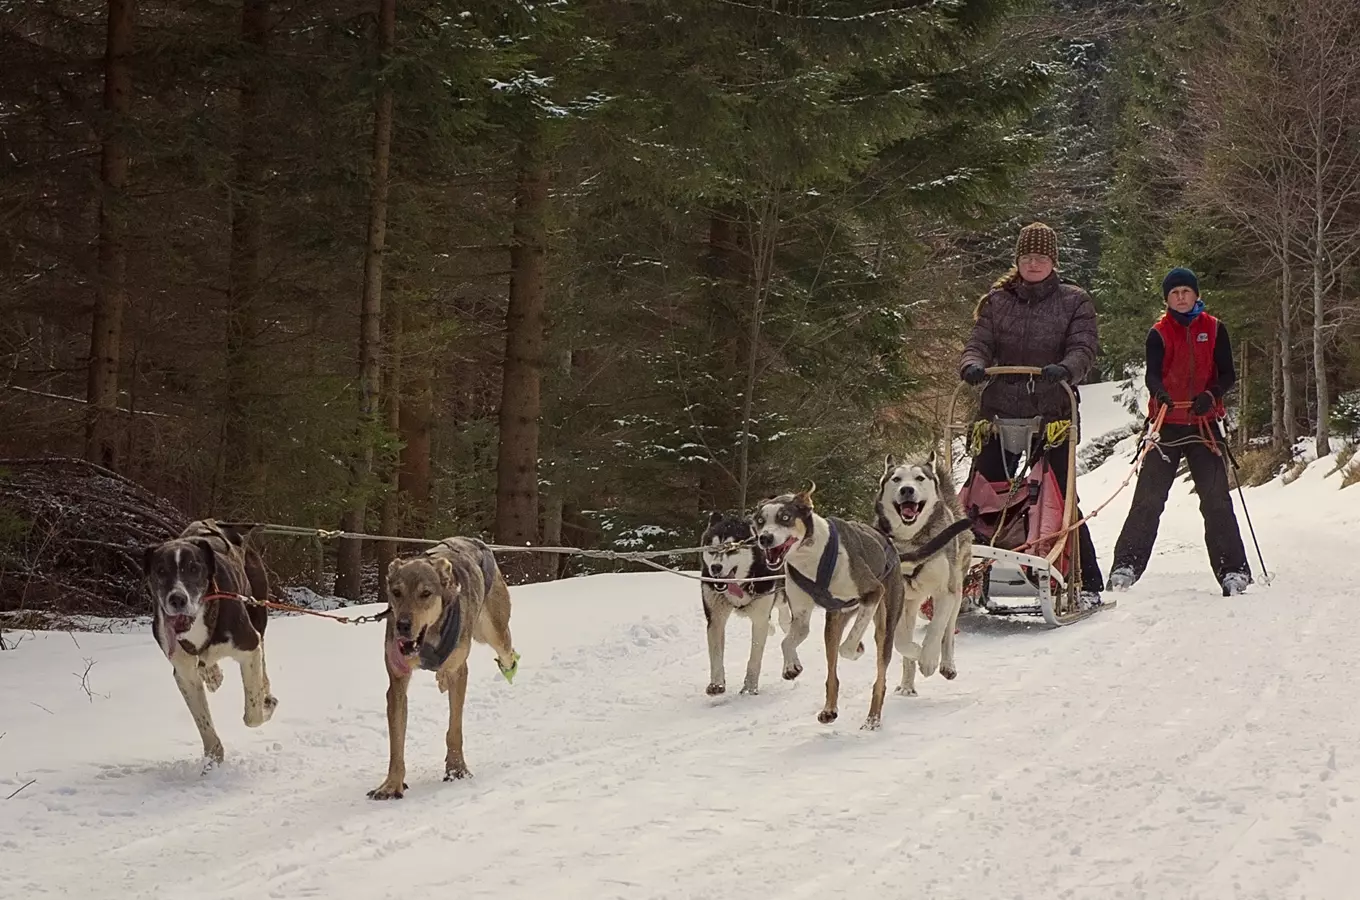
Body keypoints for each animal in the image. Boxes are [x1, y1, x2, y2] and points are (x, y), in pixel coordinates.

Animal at [367, 538, 519, 799]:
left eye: (425, 593)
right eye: (396, 592)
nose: (402, 625)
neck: (427, 639)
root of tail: (474, 541)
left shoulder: (460, 672)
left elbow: (454, 729)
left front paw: (456, 769)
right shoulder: (397, 683)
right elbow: (397, 743)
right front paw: (392, 784)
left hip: (493, 632)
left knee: (507, 652)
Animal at [701, 513, 805, 696]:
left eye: (732, 549)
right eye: (712, 549)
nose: (715, 567)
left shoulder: (760, 618)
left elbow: (755, 656)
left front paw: (750, 687)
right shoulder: (715, 619)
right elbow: (716, 655)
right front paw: (716, 683)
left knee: (785, 617)